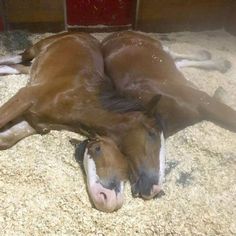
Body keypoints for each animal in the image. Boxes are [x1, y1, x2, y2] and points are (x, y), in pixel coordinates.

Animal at [0, 32, 162, 211]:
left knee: (20, 67)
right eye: (152, 133)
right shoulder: (25, 97)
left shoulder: (35, 124)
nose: (154, 188)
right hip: (35, 49)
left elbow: (5, 140)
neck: (78, 98)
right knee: (16, 57)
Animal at [101, 30, 236, 198]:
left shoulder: (205, 101)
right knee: (178, 62)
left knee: (173, 53)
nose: (147, 189)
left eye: (150, 134)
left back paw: (213, 60)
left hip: (159, 46)